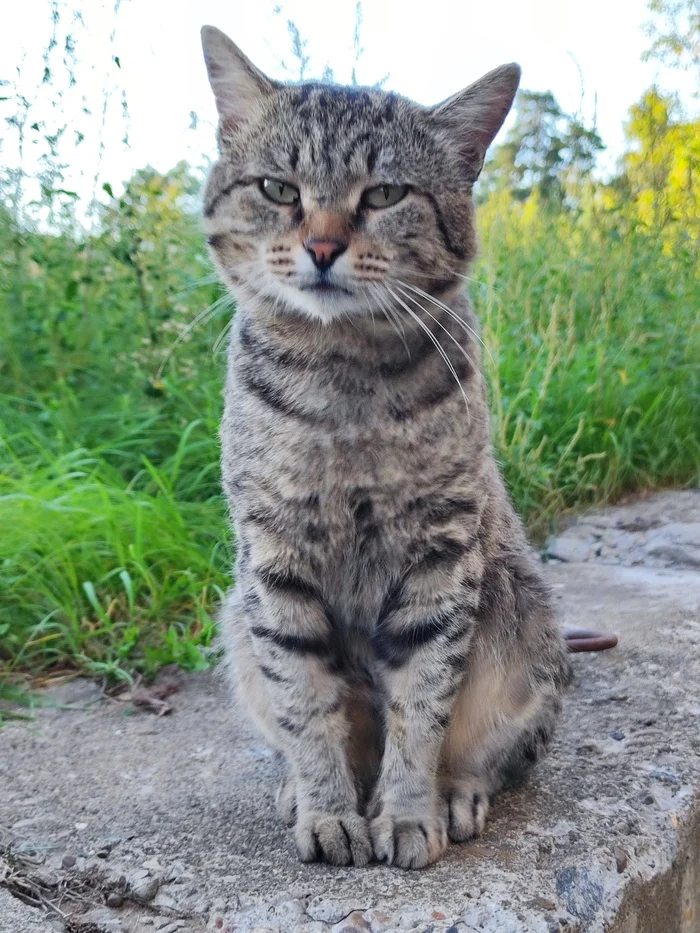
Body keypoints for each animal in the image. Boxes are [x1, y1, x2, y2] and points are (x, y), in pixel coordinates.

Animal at [200, 25, 572, 872]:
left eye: (383, 195)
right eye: (278, 190)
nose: (322, 246)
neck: (344, 379)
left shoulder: (441, 551)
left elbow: (423, 701)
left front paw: (405, 812)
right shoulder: (273, 559)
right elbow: (305, 700)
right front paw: (328, 809)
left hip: (520, 613)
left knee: (489, 750)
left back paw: (455, 792)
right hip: (237, 617)